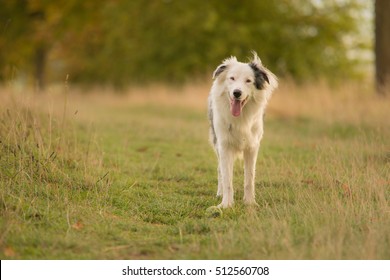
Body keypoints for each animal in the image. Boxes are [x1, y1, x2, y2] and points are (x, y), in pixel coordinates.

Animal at [207, 52, 278, 208]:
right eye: (232, 78)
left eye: (248, 81)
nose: (237, 93)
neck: (240, 117)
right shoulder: (224, 146)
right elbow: (227, 178)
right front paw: (226, 204)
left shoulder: (252, 147)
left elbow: (249, 178)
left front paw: (250, 202)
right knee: (220, 170)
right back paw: (220, 193)